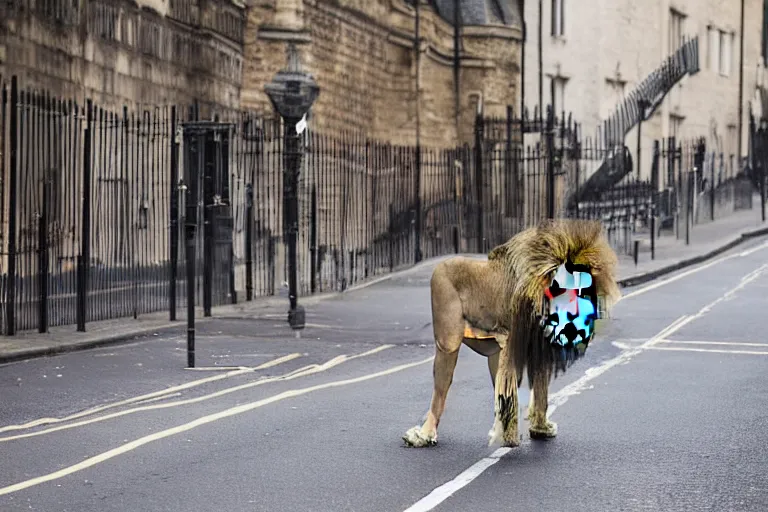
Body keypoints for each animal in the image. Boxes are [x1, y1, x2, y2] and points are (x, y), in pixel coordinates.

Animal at [404, 219, 620, 448]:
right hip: (448, 334)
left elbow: (538, 390)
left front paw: (538, 428)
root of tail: (440, 263)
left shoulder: (534, 347)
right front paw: (516, 434)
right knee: (441, 386)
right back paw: (424, 434)